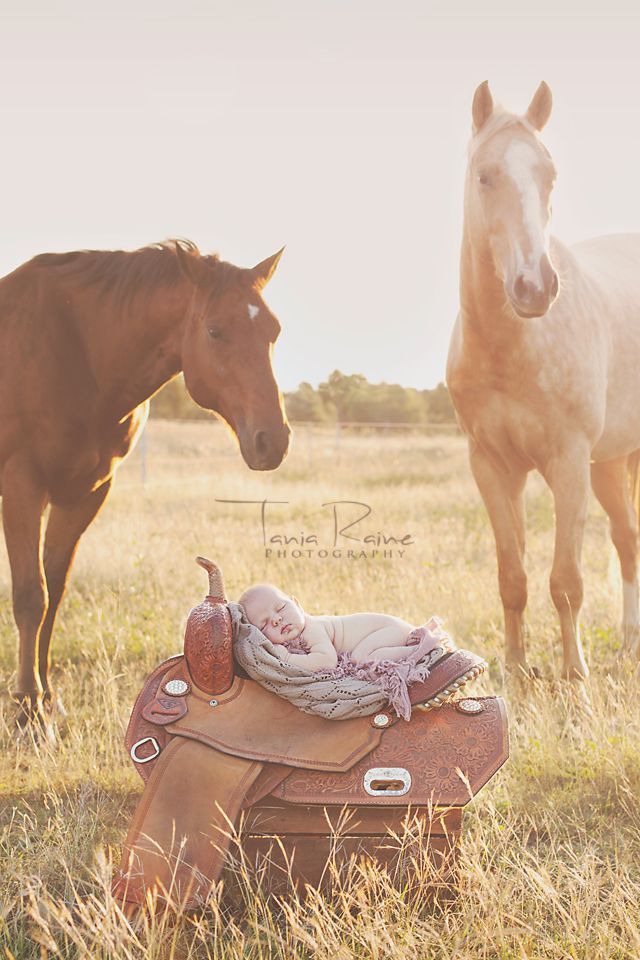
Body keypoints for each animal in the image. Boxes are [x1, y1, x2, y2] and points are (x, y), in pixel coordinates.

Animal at [0, 238, 290, 720]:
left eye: (274, 331)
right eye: (215, 331)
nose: (274, 440)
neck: (75, 347)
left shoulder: (86, 493)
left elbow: (54, 590)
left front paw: (47, 695)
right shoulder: (23, 483)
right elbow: (30, 595)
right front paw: (27, 704)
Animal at [444, 84, 640, 684]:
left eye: (550, 176)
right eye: (485, 175)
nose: (536, 286)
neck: (512, 347)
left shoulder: (568, 461)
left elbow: (566, 581)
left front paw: (575, 677)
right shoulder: (492, 466)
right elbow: (513, 577)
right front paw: (514, 668)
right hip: (610, 462)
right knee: (627, 539)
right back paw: (629, 641)